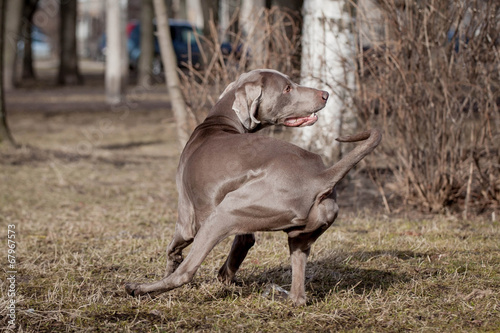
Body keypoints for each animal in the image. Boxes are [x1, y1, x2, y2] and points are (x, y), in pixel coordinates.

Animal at [126, 68, 382, 304]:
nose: (326, 94)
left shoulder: (187, 217)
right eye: (287, 88)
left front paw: (172, 266)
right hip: (296, 235)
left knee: (185, 273)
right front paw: (226, 278)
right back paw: (280, 296)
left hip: (224, 213)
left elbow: (174, 247)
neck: (219, 122)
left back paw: (139, 289)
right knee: (299, 296)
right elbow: (243, 242)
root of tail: (322, 175)